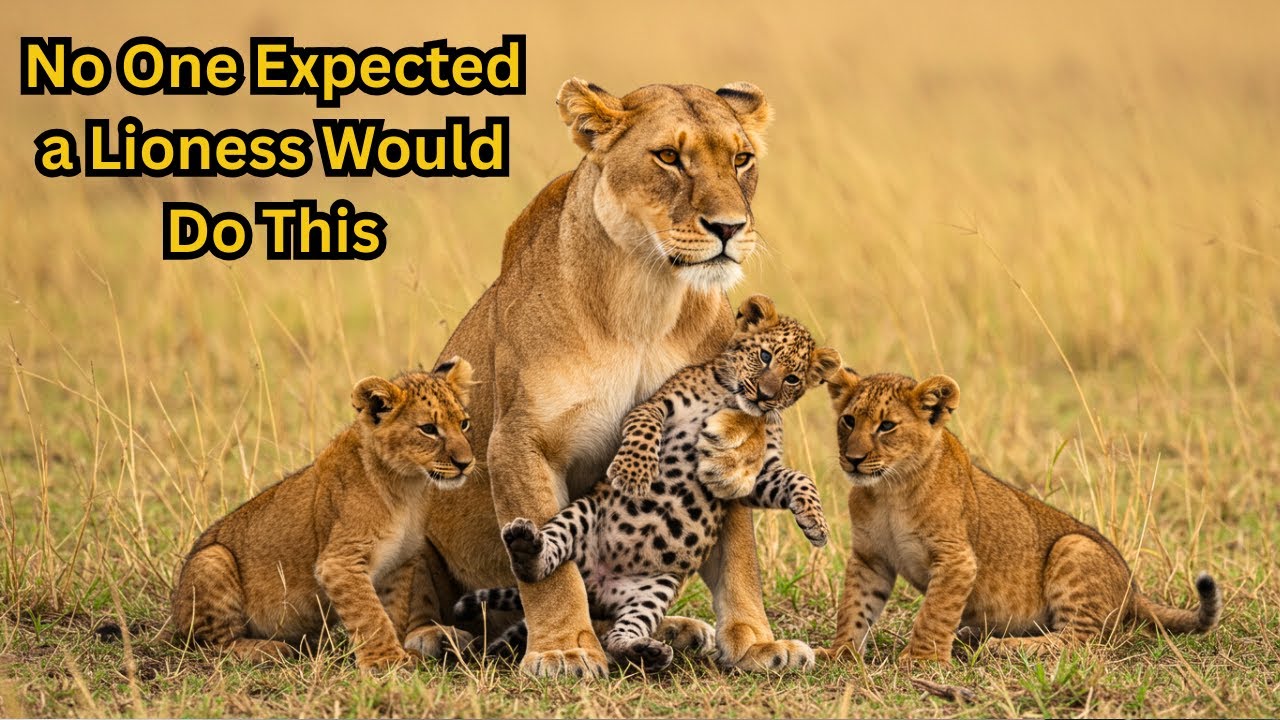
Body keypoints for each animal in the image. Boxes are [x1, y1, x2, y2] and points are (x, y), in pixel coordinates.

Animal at [169, 359, 476, 671]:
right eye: (428, 428)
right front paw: (386, 662)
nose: (466, 463)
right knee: (210, 643)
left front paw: (402, 653)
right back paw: (268, 649)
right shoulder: (339, 561)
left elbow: (395, 610)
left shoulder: (399, 562)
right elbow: (370, 615)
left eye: (463, 423)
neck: (407, 486)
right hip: (212, 559)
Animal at [452, 295, 841, 672]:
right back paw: (526, 548)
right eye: (765, 356)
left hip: (653, 589)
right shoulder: (656, 405)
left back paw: (647, 651)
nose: (764, 395)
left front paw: (816, 525)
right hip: (581, 515)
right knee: (545, 557)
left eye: (793, 379)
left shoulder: (759, 474)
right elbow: (644, 428)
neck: (733, 402)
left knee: (618, 635)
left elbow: (798, 479)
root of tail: (596, 586)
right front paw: (632, 472)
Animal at [819, 368, 1222, 665]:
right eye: (849, 420)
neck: (888, 490)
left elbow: (935, 611)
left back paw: (1005, 646)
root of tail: (1134, 590)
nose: (852, 459)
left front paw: (922, 659)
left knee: (1083, 642)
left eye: (887, 426)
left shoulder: (956, 559)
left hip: (1075, 546)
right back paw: (976, 635)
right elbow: (855, 607)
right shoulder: (870, 557)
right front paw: (840, 653)